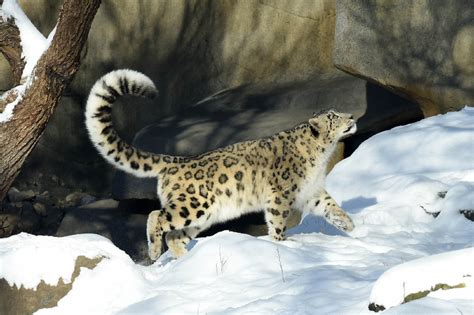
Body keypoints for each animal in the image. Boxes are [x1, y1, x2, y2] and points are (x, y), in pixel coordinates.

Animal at [86, 69, 356, 262]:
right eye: (333, 116)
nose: (352, 116)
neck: (321, 156)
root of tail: (177, 160)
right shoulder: (281, 195)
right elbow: (277, 220)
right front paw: (282, 243)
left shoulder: (312, 190)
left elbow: (330, 205)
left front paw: (348, 224)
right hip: (193, 204)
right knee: (156, 216)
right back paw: (154, 252)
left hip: (202, 217)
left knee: (175, 236)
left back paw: (186, 261)